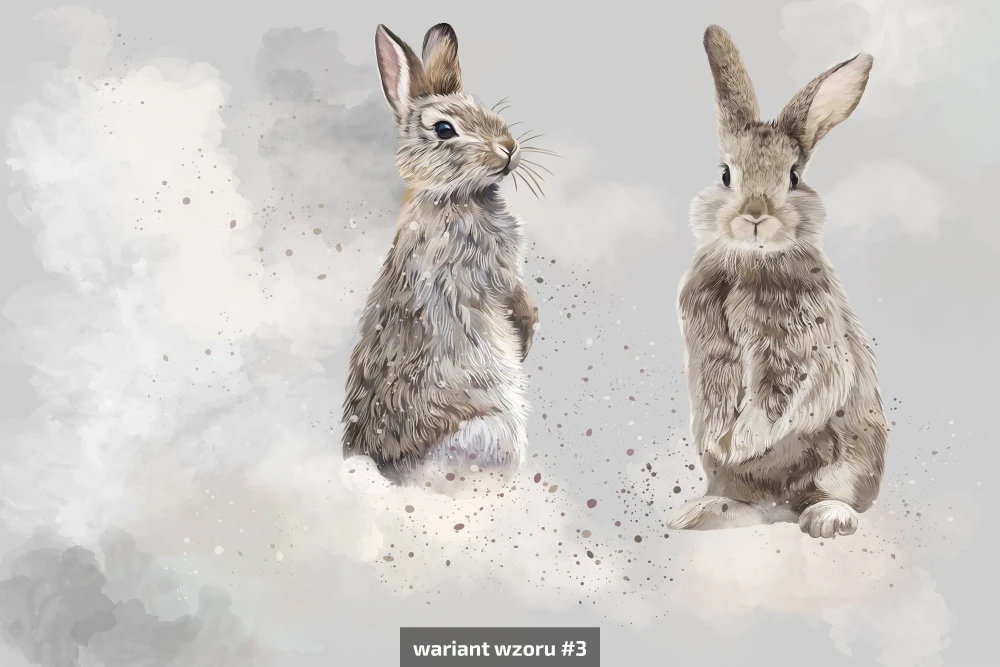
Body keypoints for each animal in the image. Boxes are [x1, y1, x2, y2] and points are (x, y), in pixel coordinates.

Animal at [342, 23, 539, 491]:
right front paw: (525, 339)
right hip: (493, 432)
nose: (508, 147)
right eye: (445, 129)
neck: (453, 196)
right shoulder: (492, 273)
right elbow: (517, 302)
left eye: (481, 106)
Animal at [666, 25, 888, 538]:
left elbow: (781, 399)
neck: (751, 261)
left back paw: (827, 519)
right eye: (726, 174)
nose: (754, 215)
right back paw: (699, 512)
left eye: (793, 177)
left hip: (845, 463)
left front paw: (742, 441)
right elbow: (717, 395)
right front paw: (722, 439)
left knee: (829, 496)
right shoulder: (710, 352)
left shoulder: (802, 351)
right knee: (747, 501)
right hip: (735, 482)